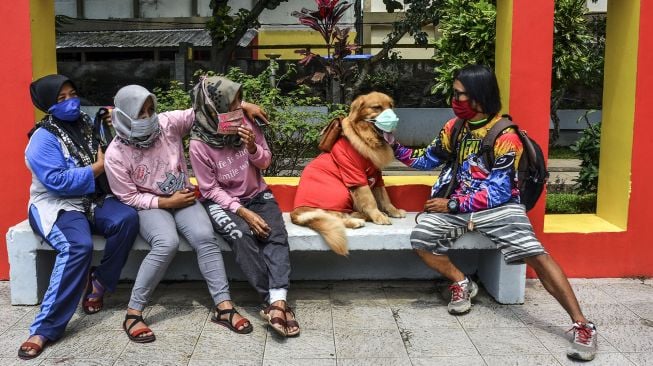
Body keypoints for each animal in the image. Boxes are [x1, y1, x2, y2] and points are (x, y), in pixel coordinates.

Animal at [290, 93, 404, 256]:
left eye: (391, 106)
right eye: (377, 107)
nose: (395, 120)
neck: (365, 138)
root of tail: (296, 213)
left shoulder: (377, 175)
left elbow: (384, 196)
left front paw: (393, 211)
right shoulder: (356, 176)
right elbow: (371, 200)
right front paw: (378, 215)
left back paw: (360, 215)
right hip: (341, 192)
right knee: (334, 218)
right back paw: (357, 220)